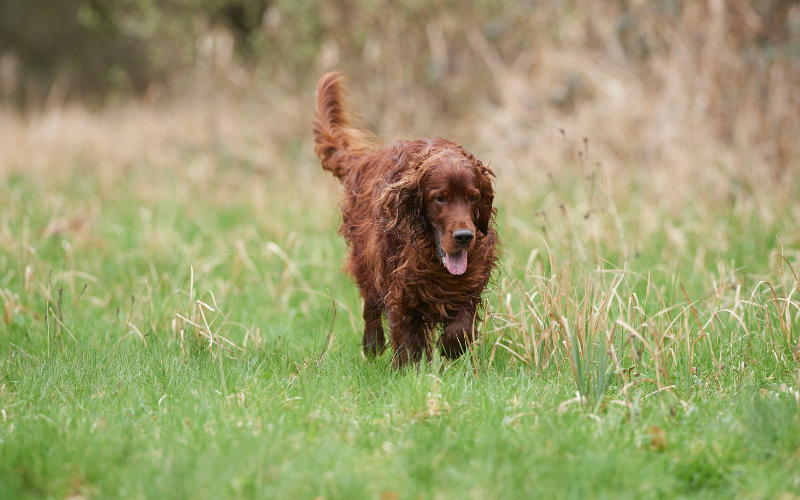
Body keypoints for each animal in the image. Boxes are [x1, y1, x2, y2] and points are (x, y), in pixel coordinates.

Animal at [314, 71, 496, 368]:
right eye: (440, 198)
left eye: (473, 197)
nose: (464, 237)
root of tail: (362, 162)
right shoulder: (399, 285)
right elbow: (406, 330)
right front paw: (410, 367)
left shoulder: (472, 277)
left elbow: (460, 325)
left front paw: (450, 348)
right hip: (364, 261)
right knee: (370, 307)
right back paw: (373, 346)